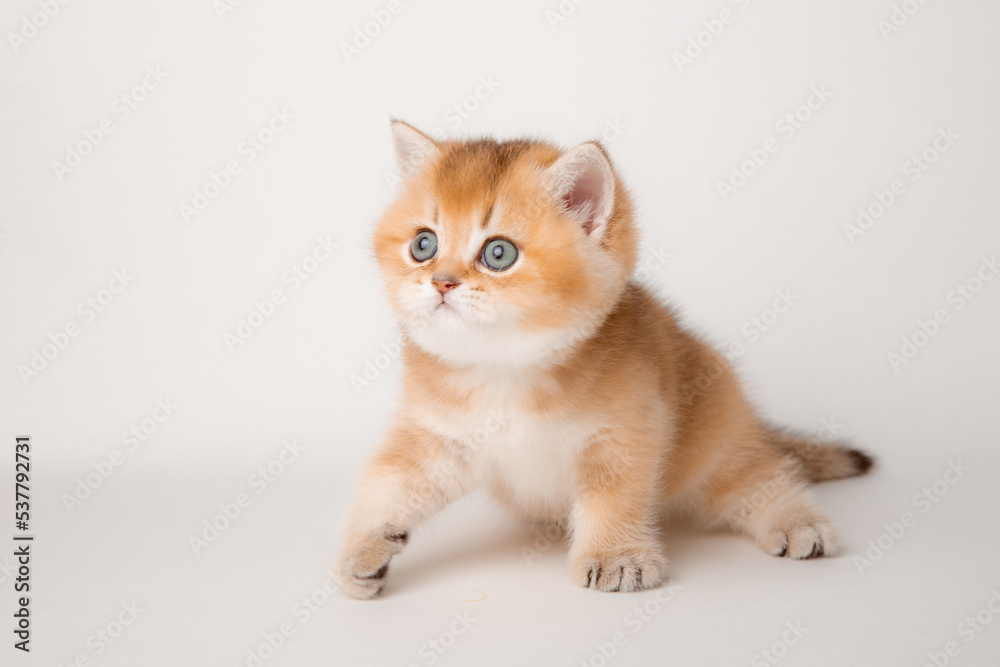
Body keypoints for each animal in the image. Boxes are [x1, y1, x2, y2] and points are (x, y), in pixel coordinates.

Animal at [338, 121, 876, 600]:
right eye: (423, 245)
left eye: (498, 253)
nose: (442, 282)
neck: (505, 370)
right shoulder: (436, 436)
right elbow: (391, 483)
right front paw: (363, 550)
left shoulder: (627, 430)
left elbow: (613, 498)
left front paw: (617, 557)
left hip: (717, 439)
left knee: (760, 475)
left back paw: (798, 522)